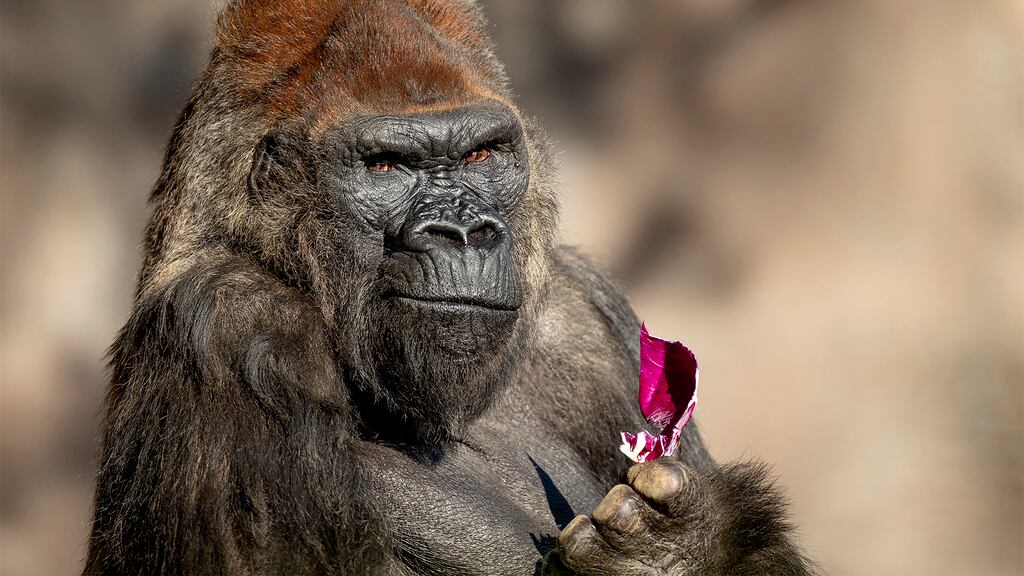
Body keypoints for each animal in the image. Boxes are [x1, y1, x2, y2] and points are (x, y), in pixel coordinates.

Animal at [83, 1, 815, 574]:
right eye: (386, 166)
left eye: (479, 155)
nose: (463, 233)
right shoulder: (229, 324)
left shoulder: (587, 313)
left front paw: (684, 549)